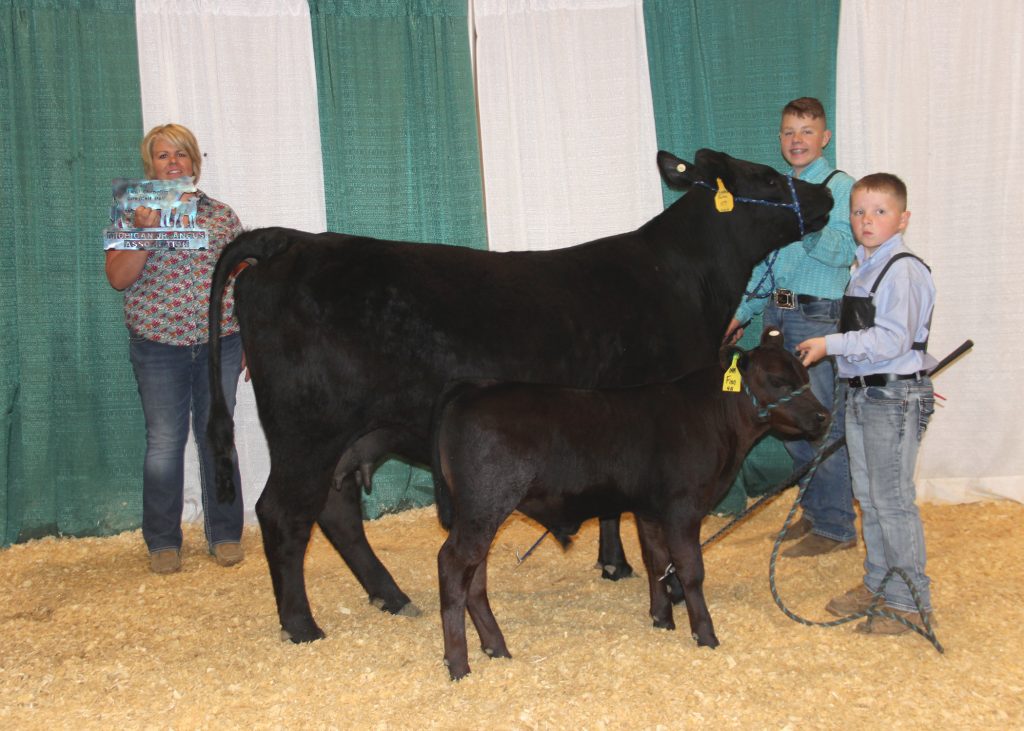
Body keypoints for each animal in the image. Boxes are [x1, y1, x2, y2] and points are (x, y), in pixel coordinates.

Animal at [432, 328, 828, 680]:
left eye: (805, 373)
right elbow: (691, 571)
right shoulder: (683, 508)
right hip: (485, 505)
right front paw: (705, 635)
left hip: (480, 512)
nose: (823, 417)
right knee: (454, 564)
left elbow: (657, 561)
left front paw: (662, 619)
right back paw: (459, 664)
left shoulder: (651, 511)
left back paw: (495, 647)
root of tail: (474, 388)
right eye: (777, 380)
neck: (716, 421)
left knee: (475, 574)